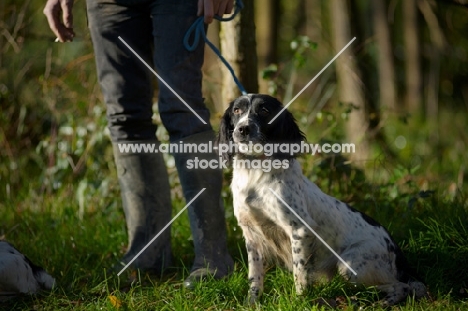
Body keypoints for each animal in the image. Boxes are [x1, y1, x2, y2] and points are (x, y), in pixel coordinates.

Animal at [218, 94, 428, 308]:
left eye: (264, 110)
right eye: (237, 110)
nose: (243, 129)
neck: (254, 171)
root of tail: (396, 250)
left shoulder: (299, 230)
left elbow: (299, 274)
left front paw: (299, 301)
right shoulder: (252, 235)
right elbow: (255, 277)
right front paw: (251, 303)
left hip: (350, 266)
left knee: (402, 286)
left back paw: (381, 303)